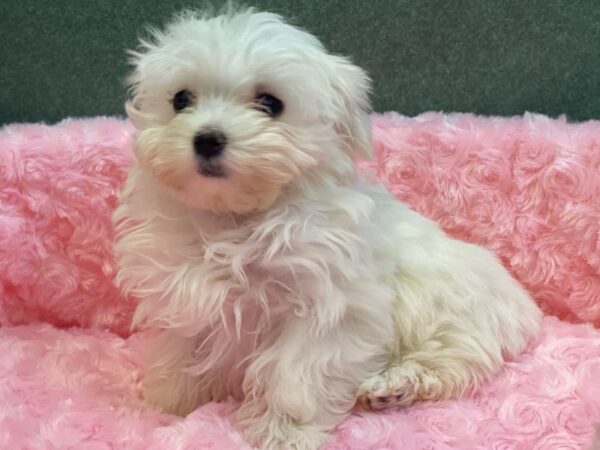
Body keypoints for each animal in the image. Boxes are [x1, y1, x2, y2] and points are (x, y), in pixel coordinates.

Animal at [113, 6, 544, 450]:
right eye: (181, 99)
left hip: (451, 310)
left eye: (271, 103)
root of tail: (526, 308)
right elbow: (182, 348)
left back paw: (395, 384)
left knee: (454, 358)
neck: (236, 218)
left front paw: (284, 432)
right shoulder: (188, 291)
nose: (208, 139)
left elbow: (294, 375)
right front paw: (169, 401)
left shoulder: (328, 307)